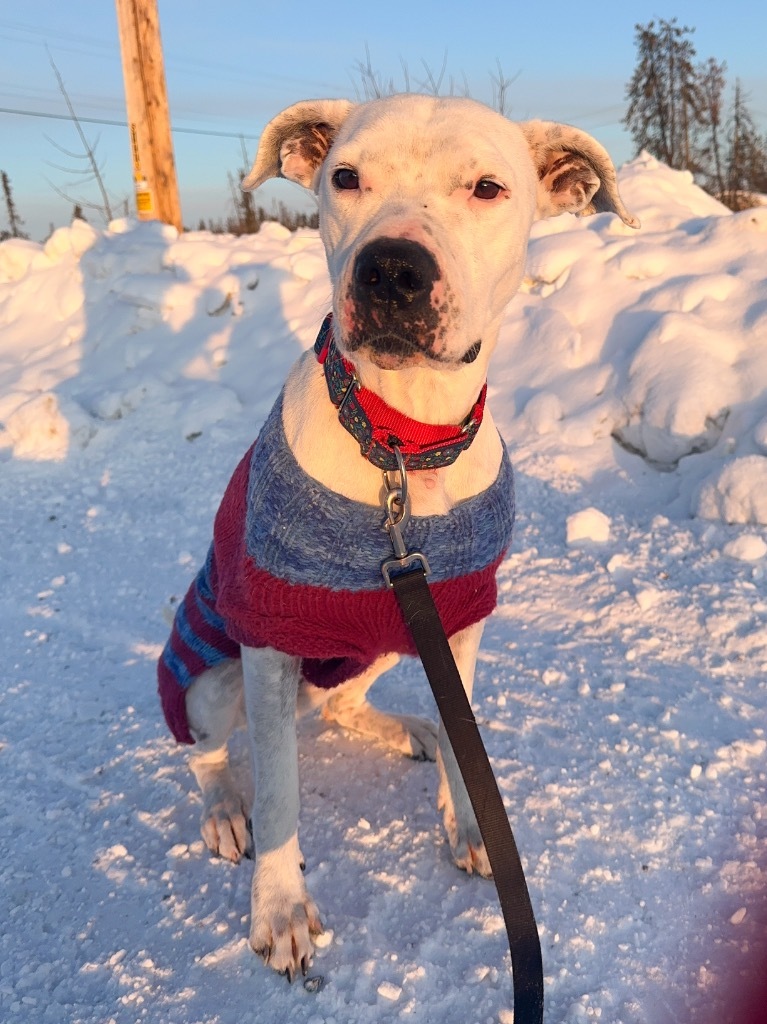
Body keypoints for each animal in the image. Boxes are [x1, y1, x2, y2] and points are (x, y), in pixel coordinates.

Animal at [156, 92, 634, 978]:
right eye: (344, 177)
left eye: (487, 188)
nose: (390, 269)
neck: (400, 441)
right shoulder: (268, 638)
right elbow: (281, 791)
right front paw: (280, 906)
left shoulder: (459, 615)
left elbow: (463, 734)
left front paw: (469, 823)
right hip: (209, 682)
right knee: (208, 755)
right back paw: (223, 810)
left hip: (376, 645)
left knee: (348, 706)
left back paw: (405, 728)